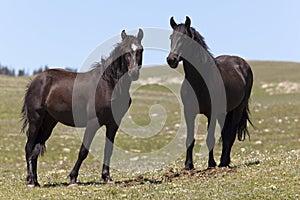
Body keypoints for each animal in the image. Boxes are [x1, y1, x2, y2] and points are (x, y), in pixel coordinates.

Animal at [21, 28, 144, 187]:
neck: (109, 85)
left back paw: (36, 181)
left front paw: (107, 177)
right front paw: (73, 178)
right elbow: (83, 151)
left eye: (140, 50)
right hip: (35, 120)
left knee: (35, 148)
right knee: (29, 147)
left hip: (48, 123)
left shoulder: (113, 124)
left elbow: (108, 150)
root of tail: (35, 81)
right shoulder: (93, 123)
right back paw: (30, 180)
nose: (134, 73)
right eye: (125, 51)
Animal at [166, 16, 253, 169]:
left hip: (237, 109)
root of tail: (242, 64)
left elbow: (210, 138)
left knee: (230, 134)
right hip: (224, 112)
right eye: (171, 37)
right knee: (225, 134)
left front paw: (211, 163)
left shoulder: (211, 113)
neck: (198, 82)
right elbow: (190, 139)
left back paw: (224, 162)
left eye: (186, 37)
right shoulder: (189, 112)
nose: (172, 60)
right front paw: (188, 165)